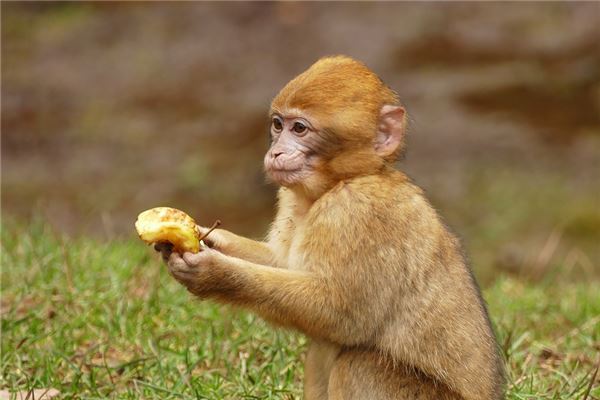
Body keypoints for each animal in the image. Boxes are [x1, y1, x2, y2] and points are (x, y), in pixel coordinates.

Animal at [156, 56, 506, 400]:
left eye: (300, 128)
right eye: (278, 124)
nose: (275, 152)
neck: (344, 180)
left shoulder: (357, 210)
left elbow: (341, 315)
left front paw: (214, 273)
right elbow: (282, 264)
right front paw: (205, 238)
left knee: (357, 363)